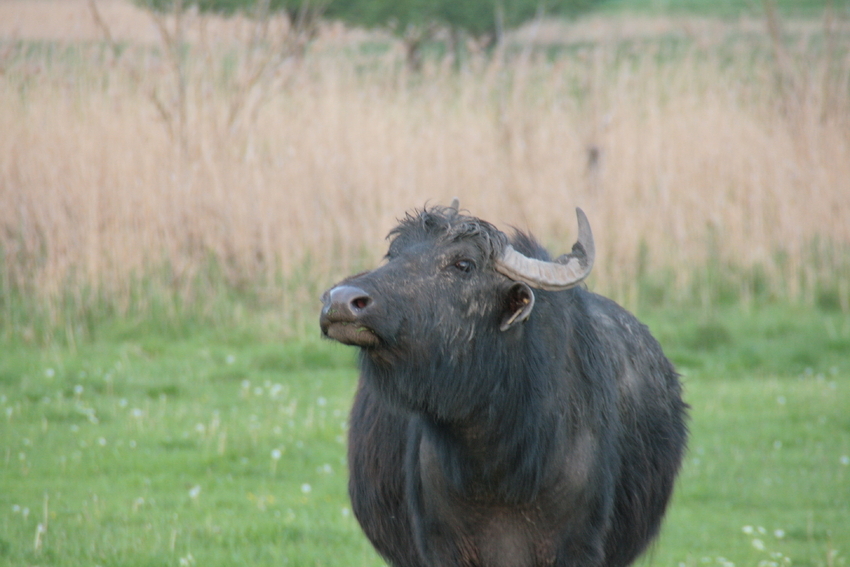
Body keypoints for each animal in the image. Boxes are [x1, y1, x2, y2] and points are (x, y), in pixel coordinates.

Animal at [316, 202, 684, 567]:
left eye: (464, 264)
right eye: (393, 254)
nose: (340, 301)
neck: (498, 464)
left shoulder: (578, 546)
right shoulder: (441, 545)